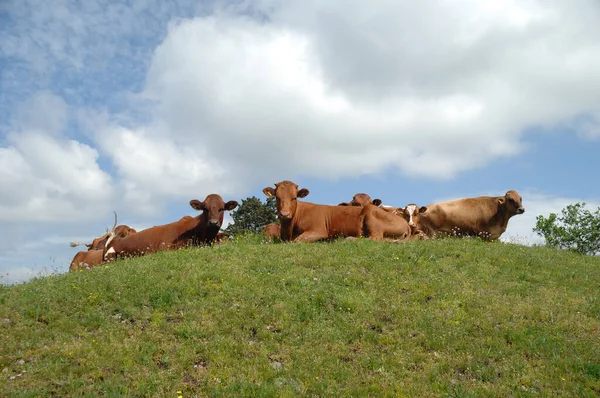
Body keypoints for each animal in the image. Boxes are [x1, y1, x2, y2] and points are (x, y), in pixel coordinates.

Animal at [264, 181, 412, 243]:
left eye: (294, 197)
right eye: (277, 197)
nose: (284, 214)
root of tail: (406, 223)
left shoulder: (318, 230)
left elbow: (297, 241)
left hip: (371, 215)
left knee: (376, 238)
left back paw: (349, 239)